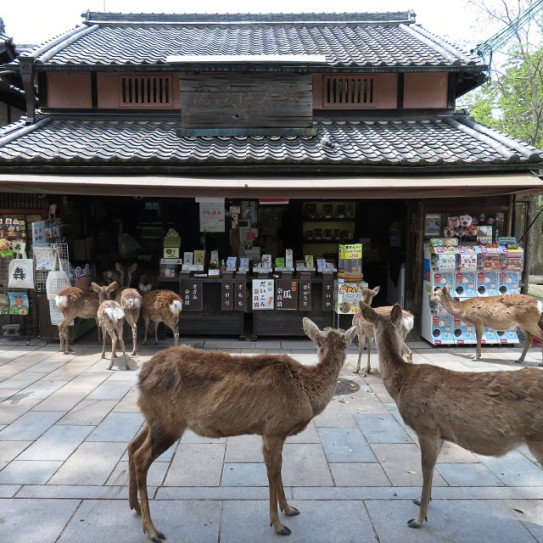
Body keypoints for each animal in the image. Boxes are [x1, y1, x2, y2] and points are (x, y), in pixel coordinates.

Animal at [129, 316, 360, 540]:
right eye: (347, 341)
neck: (306, 391)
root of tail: (141, 377)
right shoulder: (274, 428)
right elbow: (273, 472)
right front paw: (278, 524)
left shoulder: (271, 432)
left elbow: (278, 470)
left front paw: (289, 508)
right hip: (169, 422)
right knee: (141, 457)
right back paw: (152, 530)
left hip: (154, 417)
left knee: (132, 446)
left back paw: (135, 507)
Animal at [360, 300, 543, 528]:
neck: (402, 383)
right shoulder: (441, 433)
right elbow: (432, 470)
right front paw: (423, 500)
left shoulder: (426, 427)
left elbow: (426, 469)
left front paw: (418, 519)